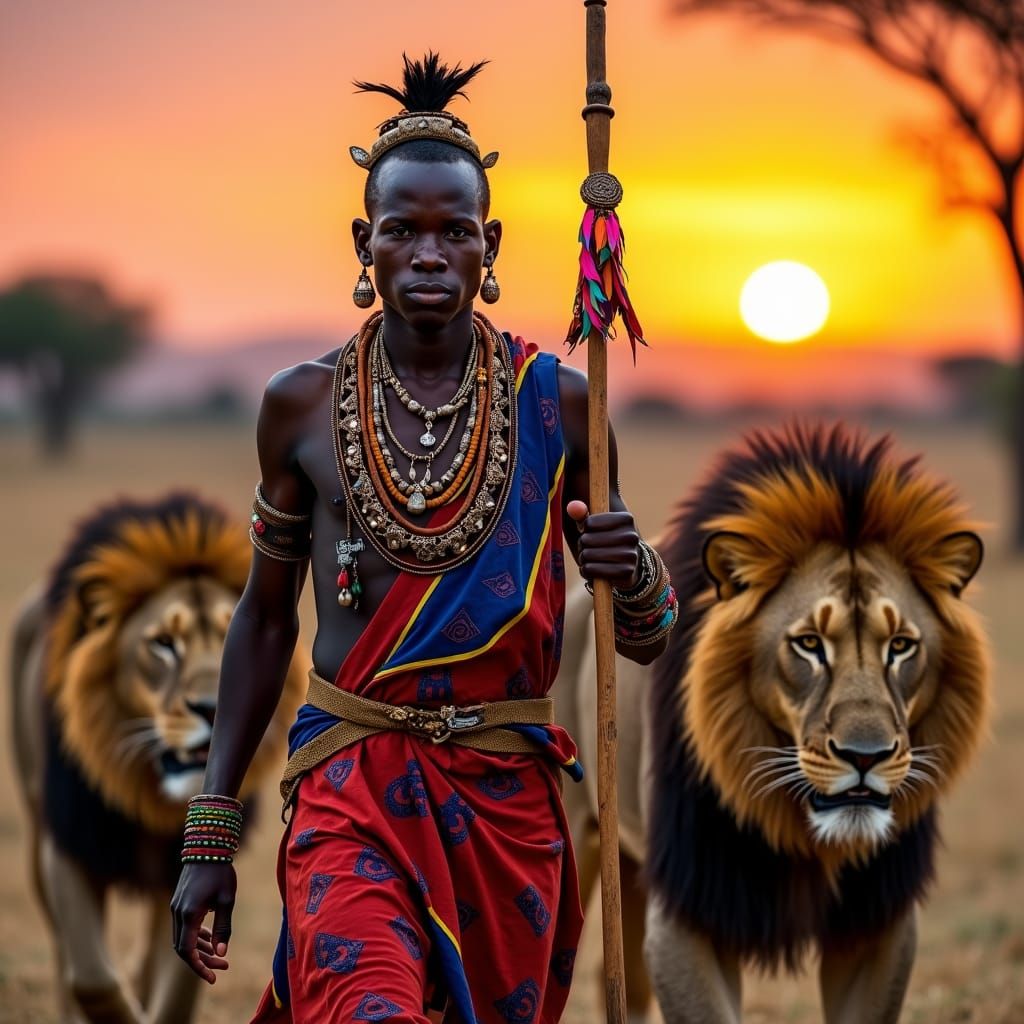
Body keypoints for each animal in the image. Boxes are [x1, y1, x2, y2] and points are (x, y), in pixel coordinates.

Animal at [11, 494, 308, 1024]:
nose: (212, 708)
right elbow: (92, 980)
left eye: (227, 638)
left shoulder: (182, 870)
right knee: (65, 956)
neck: (143, 788)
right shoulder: (68, 844)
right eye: (163, 645)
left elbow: (176, 992)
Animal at [558, 424, 990, 1024]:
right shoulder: (689, 910)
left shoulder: (879, 918)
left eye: (901, 646)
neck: (793, 821)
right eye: (808, 644)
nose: (865, 757)